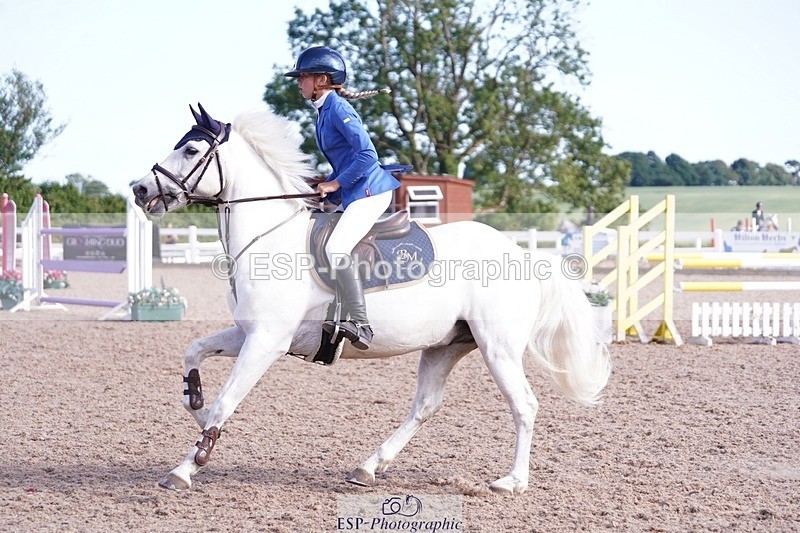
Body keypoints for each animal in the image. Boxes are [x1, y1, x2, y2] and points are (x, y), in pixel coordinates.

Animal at [131, 103, 611, 494]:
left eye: (192, 150)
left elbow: (227, 400)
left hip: (498, 347)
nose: (139, 189)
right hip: (445, 345)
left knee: (524, 405)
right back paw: (368, 467)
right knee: (425, 406)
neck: (268, 237)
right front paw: (197, 413)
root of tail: (523, 254)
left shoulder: (266, 341)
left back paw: (512, 481)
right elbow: (194, 355)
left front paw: (187, 467)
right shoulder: (250, 333)